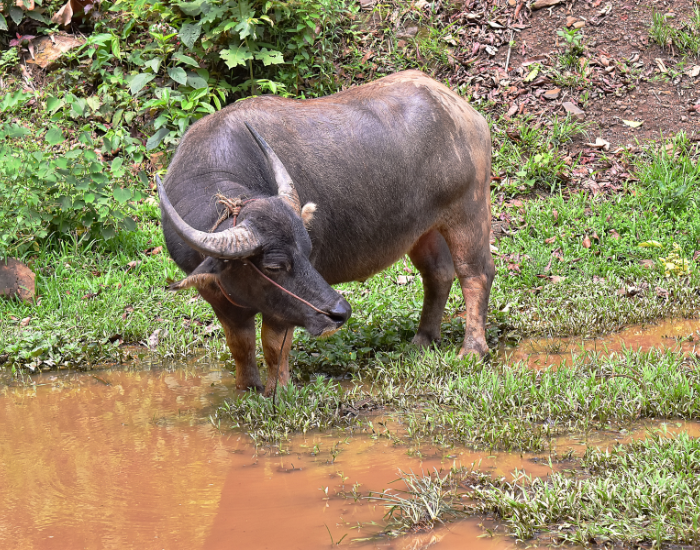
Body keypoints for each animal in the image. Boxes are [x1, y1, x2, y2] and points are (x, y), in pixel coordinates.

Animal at [157, 70, 494, 395]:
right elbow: (240, 345)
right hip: (424, 229)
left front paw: (277, 391)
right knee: (437, 273)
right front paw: (245, 389)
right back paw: (424, 338)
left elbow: (273, 345)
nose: (340, 312)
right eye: (273, 265)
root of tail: (463, 111)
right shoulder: (218, 298)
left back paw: (472, 350)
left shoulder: (283, 308)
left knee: (475, 273)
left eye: (307, 253)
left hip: (469, 211)